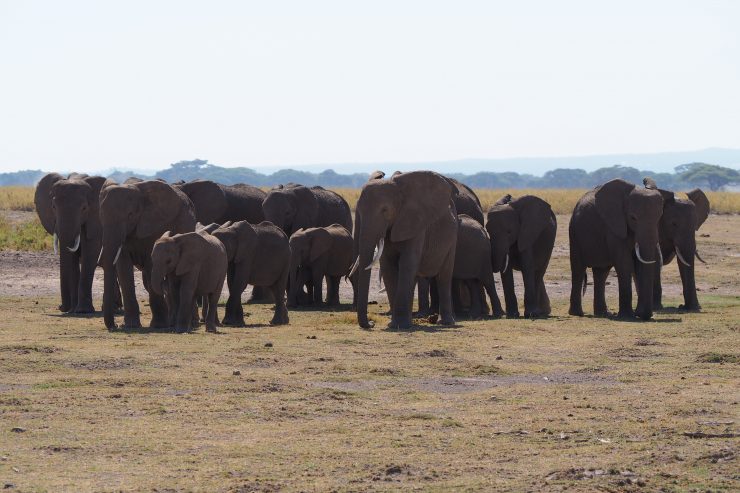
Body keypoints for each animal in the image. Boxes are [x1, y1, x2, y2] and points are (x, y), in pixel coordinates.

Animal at [34, 173, 107, 312]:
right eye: (53, 207)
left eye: (84, 208)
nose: (61, 307)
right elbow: (71, 259)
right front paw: (73, 310)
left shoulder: (95, 221)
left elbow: (90, 253)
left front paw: (83, 311)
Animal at [98, 179, 197, 328]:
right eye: (101, 216)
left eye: (130, 215)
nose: (115, 326)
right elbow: (123, 267)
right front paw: (130, 325)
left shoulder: (156, 225)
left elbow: (152, 264)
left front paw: (159, 325)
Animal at [352, 171, 460, 328]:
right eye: (357, 210)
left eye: (385, 210)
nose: (371, 323)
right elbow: (388, 266)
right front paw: (395, 325)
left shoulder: (416, 224)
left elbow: (407, 263)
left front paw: (400, 326)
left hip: (452, 238)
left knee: (444, 276)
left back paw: (446, 323)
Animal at [568, 178, 660, 320]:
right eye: (633, 218)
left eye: (659, 217)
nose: (642, 315)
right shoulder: (613, 226)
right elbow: (625, 263)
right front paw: (627, 316)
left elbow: (638, 265)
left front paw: (637, 314)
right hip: (574, 233)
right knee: (578, 269)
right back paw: (577, 313)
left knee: (601, 273)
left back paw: (603, 313)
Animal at [640, 180, 712, 312]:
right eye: (673, 224)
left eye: (695, 225)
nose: (683, 306)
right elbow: (656, 260)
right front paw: (656, 308)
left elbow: (682, 261)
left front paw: (691, 308)